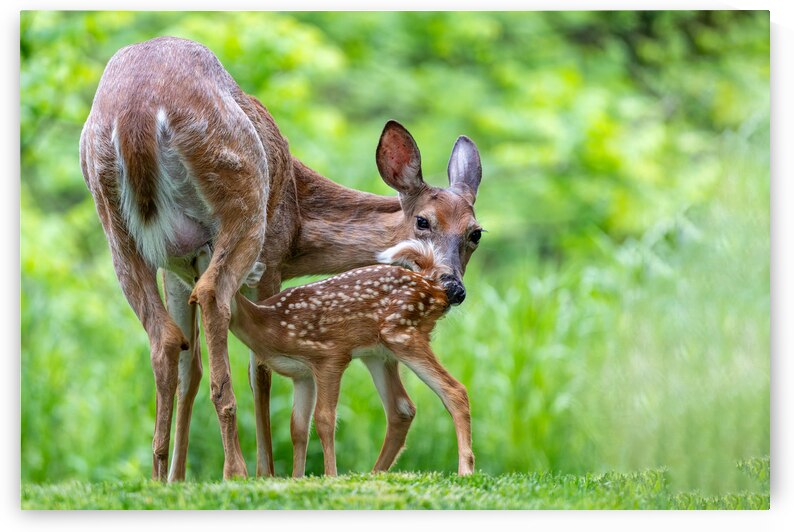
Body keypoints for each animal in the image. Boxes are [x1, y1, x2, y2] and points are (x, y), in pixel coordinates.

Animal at [194, 239, 474, 476]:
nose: (197, 294)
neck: (272, 325)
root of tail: (435, 287)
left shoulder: (330, 355)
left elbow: (324, 419)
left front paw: (330, 476)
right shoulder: (301, 374)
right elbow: (298, 428)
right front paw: (297, 479)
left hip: (402, 332)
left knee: (454, 390)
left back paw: (465, 471)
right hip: (378, 353)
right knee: (402, 408)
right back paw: (374, 473)